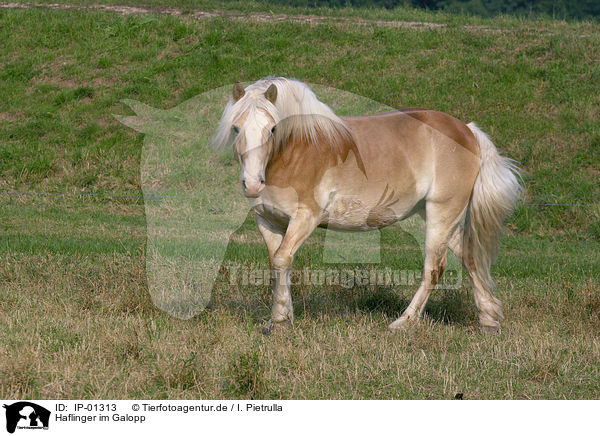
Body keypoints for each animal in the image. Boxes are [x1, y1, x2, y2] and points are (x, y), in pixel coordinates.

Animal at [212, 76, 520, 334]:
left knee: (434, 268)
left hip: (441, 213)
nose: (253, 184)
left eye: (272, 129)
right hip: (443, 218)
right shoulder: (268, 221)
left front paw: (278, 321)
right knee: (469, 256)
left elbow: (282, 259)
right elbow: (277, 264)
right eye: (236, 128)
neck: (295, 151)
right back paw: (489, 320)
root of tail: (466, 130)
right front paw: (282, 316)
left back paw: (403, 322)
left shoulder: (305, 218)